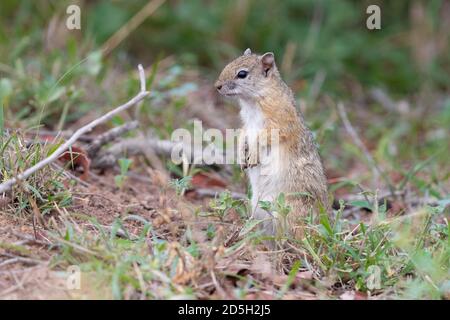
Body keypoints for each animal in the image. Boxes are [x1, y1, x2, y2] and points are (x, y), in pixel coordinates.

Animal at [216, 48, 328, 241]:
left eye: (242, 74)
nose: (217, 86)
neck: (254, 99)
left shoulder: (280, 122)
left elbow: (263, 137)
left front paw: (253, 153)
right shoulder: (247, 125)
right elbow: (243, 135)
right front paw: (241, 156)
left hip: (289, 209)